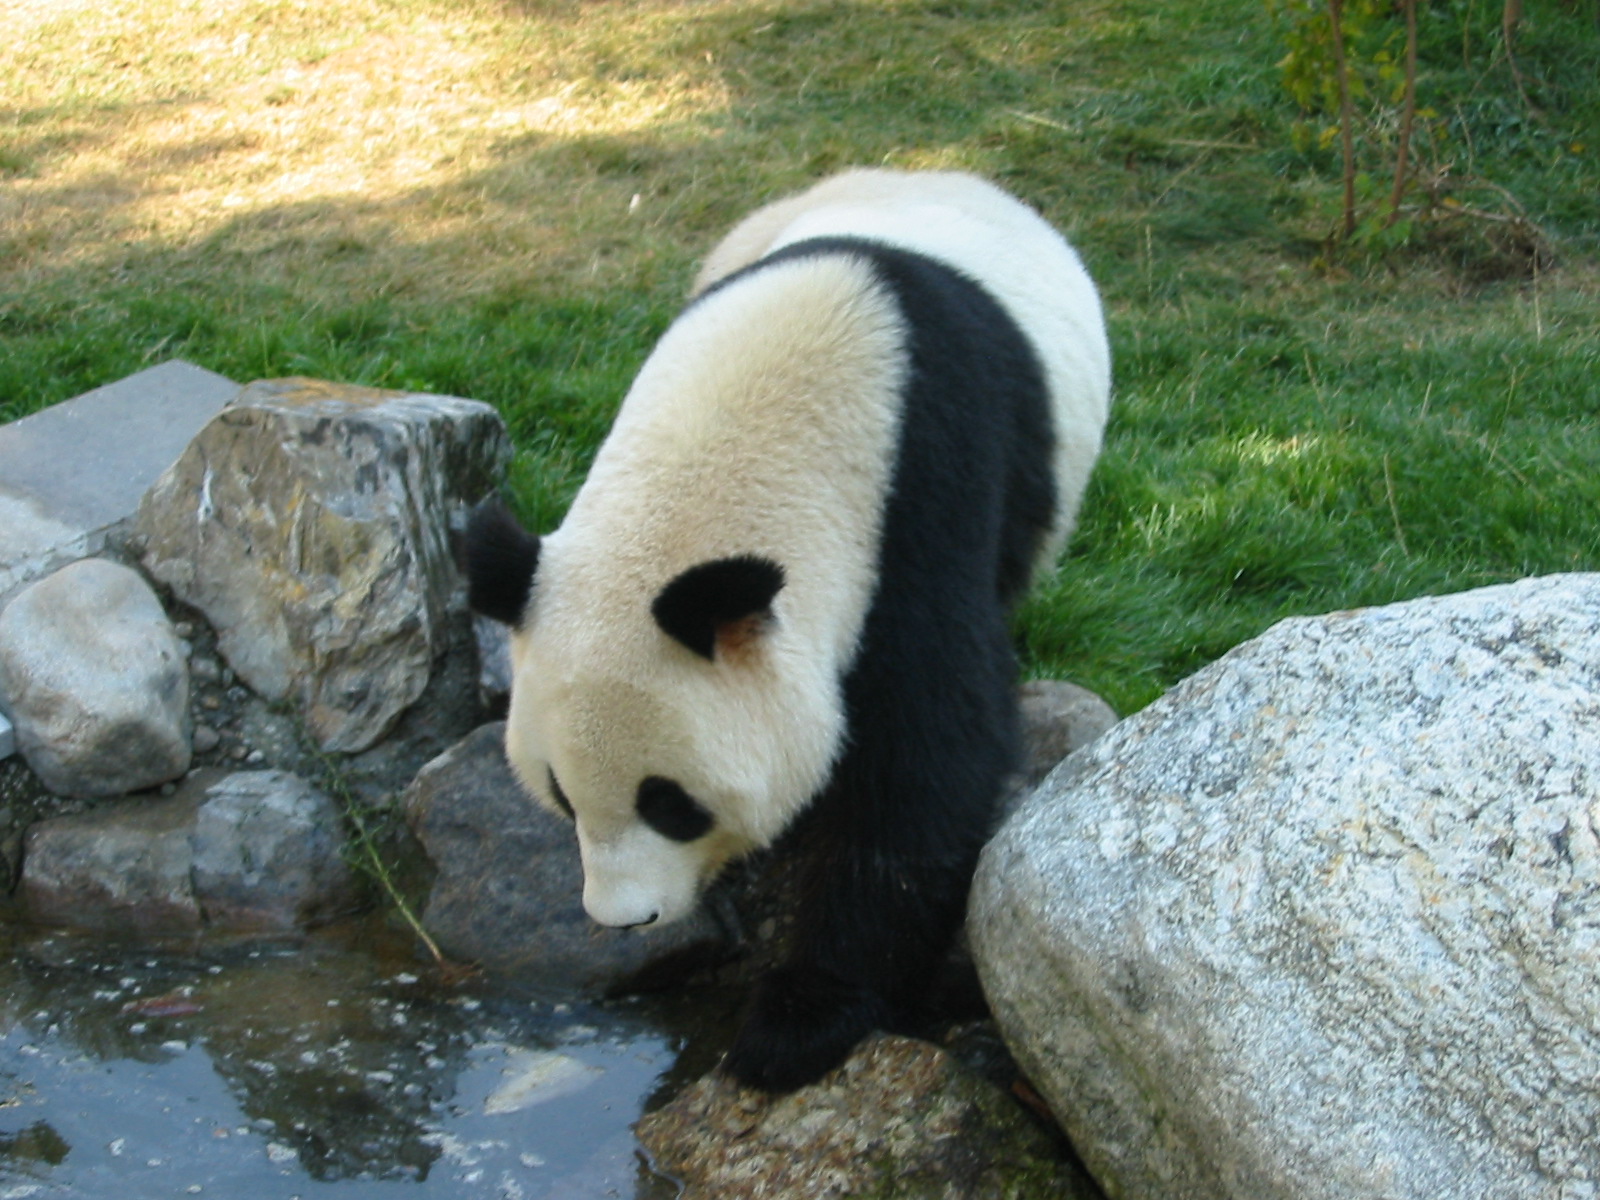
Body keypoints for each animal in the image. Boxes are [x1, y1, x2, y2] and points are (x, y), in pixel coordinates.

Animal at [463, 168, 1110, 1093]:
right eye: (559, 793)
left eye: (671, 803)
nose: (625, 919)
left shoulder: (916, 518)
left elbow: (925, 764)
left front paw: (797, 1020)